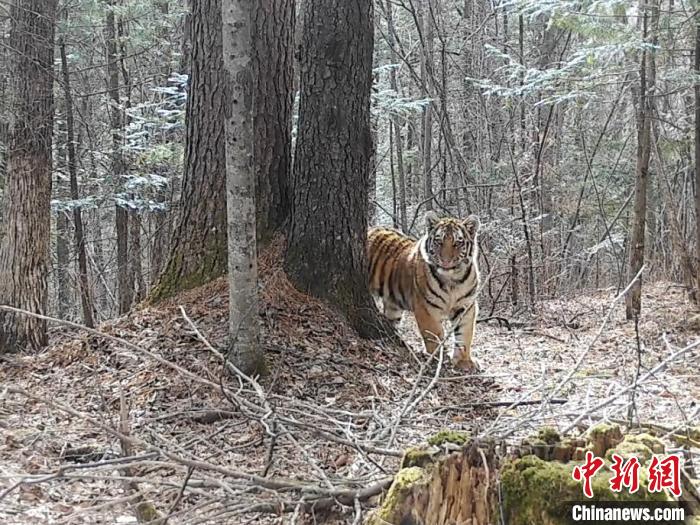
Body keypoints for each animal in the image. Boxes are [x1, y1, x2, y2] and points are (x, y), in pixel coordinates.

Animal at [366, 212, 482, 368]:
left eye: (458, 243)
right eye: (439, 241)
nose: (446, 261)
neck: (452, 280)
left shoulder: (466, 306)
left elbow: (465, 334)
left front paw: (464, 362)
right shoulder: (426, 307)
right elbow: (434, 333)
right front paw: (437, 359)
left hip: (393, 306)